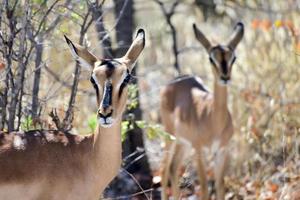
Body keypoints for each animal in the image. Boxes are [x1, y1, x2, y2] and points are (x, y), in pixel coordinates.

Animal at [159, 22, 244, 199]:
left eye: (233, 58)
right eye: (211, 58)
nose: (225, 78)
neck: (213, 119)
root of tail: (173, 82)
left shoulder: (221, 150)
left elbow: (220, 186)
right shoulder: (199, 150)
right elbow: (204, 188)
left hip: (183, 143)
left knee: (173, 168)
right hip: (170, 136)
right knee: (164, 170)